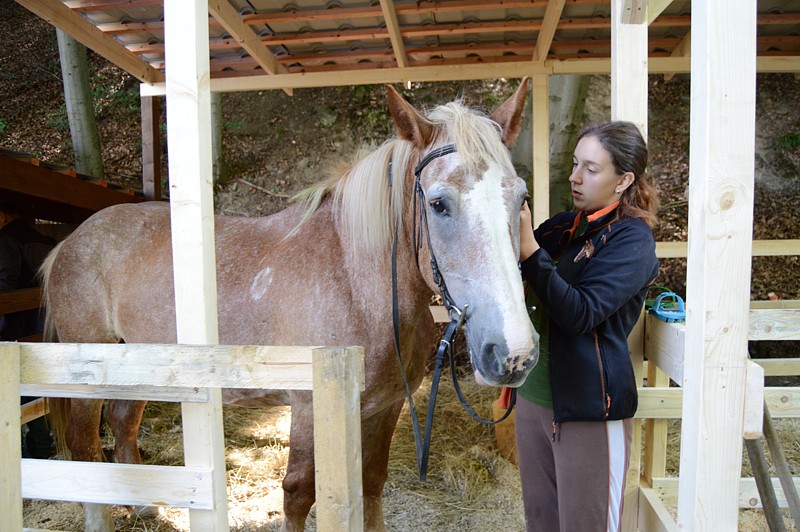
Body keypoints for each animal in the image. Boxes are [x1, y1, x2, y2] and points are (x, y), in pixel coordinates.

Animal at [39, 76, 536, 532]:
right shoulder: (311, 409)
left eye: (522, 198)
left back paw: (143, 506)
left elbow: (371, 484)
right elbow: (299, 493)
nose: (512, 353)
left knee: (123, 422)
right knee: (85, 449)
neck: (352, 280)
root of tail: (69, 241)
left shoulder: (386, 407)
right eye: (438, 204)